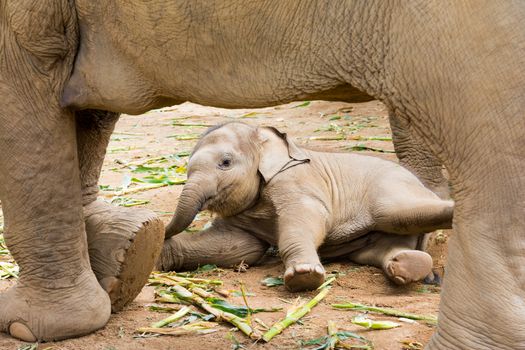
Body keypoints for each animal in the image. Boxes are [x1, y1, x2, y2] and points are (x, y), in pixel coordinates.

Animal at [158, 121, 452, 292]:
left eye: (225, 162)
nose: (162, 228)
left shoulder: (296, 180)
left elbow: (308, 217)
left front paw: (304, 277)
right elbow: (239, 248)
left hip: (391, 190)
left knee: (396, 213)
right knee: (383, 249)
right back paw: (408, 267)